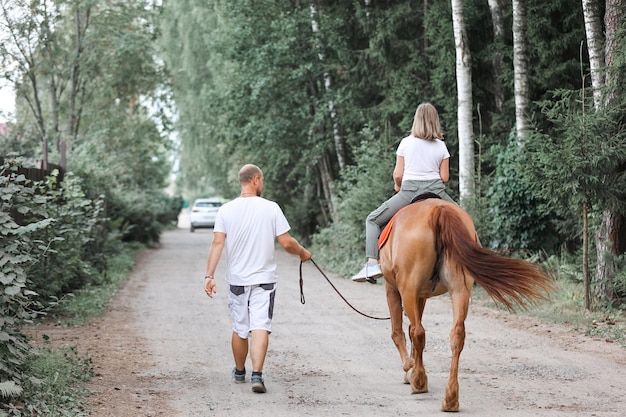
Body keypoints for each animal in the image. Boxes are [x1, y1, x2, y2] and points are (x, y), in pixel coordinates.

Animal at [376, 197, 552, 410]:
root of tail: (438, 210)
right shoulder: (421, 295)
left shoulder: (394, 289)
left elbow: (399, 331)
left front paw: (409, 369)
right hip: (460, 290)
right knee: (456, 335)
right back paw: (450, 398)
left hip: (409, 289)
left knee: (418, 332)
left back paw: (419, 381)